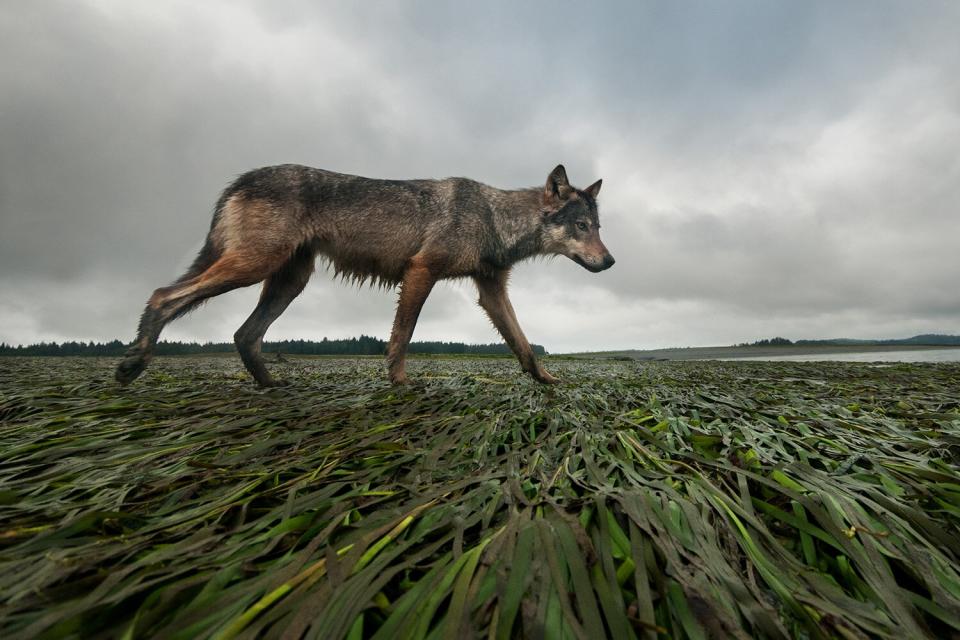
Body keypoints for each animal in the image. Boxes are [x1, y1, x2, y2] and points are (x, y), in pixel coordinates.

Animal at [116, 164, 616, 384]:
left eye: (598, 227)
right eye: (581, 226)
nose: (611, 262)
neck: (494, 218)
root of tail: (238, 179)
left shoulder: (491, 292)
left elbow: (523, 344)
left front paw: (549, 383)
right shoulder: (420, 272)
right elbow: (402, 337)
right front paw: (400, 387)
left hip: (287, 282)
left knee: (243, 334)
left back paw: (274, 387)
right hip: (252, 268)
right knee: (163, 295)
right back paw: (132, 364)